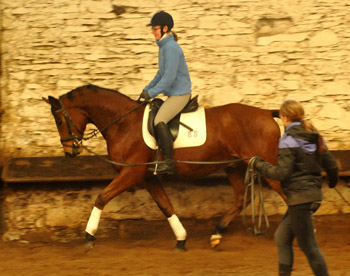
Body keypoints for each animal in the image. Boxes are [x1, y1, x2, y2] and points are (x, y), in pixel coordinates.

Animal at [43, 85, 284, 251]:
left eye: (59, 120)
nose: (70, 151)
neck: (123, 123)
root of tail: (265, 113)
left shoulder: (131, 172)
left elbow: (102, 197)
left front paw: (89, 236)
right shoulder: (147, 177)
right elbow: (165, 205)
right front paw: (181, 239)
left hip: (267, 166)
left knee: (283, 192)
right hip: (233, 166)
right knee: (242, 198)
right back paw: (217, 233)